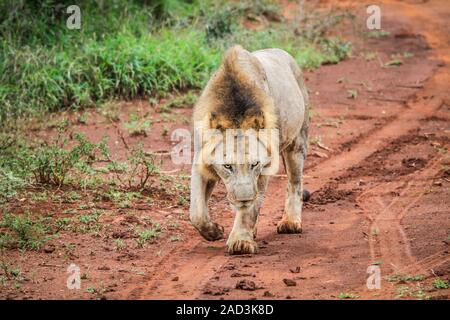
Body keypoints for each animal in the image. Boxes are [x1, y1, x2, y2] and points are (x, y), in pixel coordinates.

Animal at [188, 45, 308, 255]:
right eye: (227, 166)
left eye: (254, 164)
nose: (244, 198)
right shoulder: (200, 160)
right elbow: (196, 212)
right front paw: (214, 231)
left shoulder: (264, 169)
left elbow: (248, 211)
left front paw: (241, 242)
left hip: (297, 140)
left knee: (295, 182)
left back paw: (290, 222)